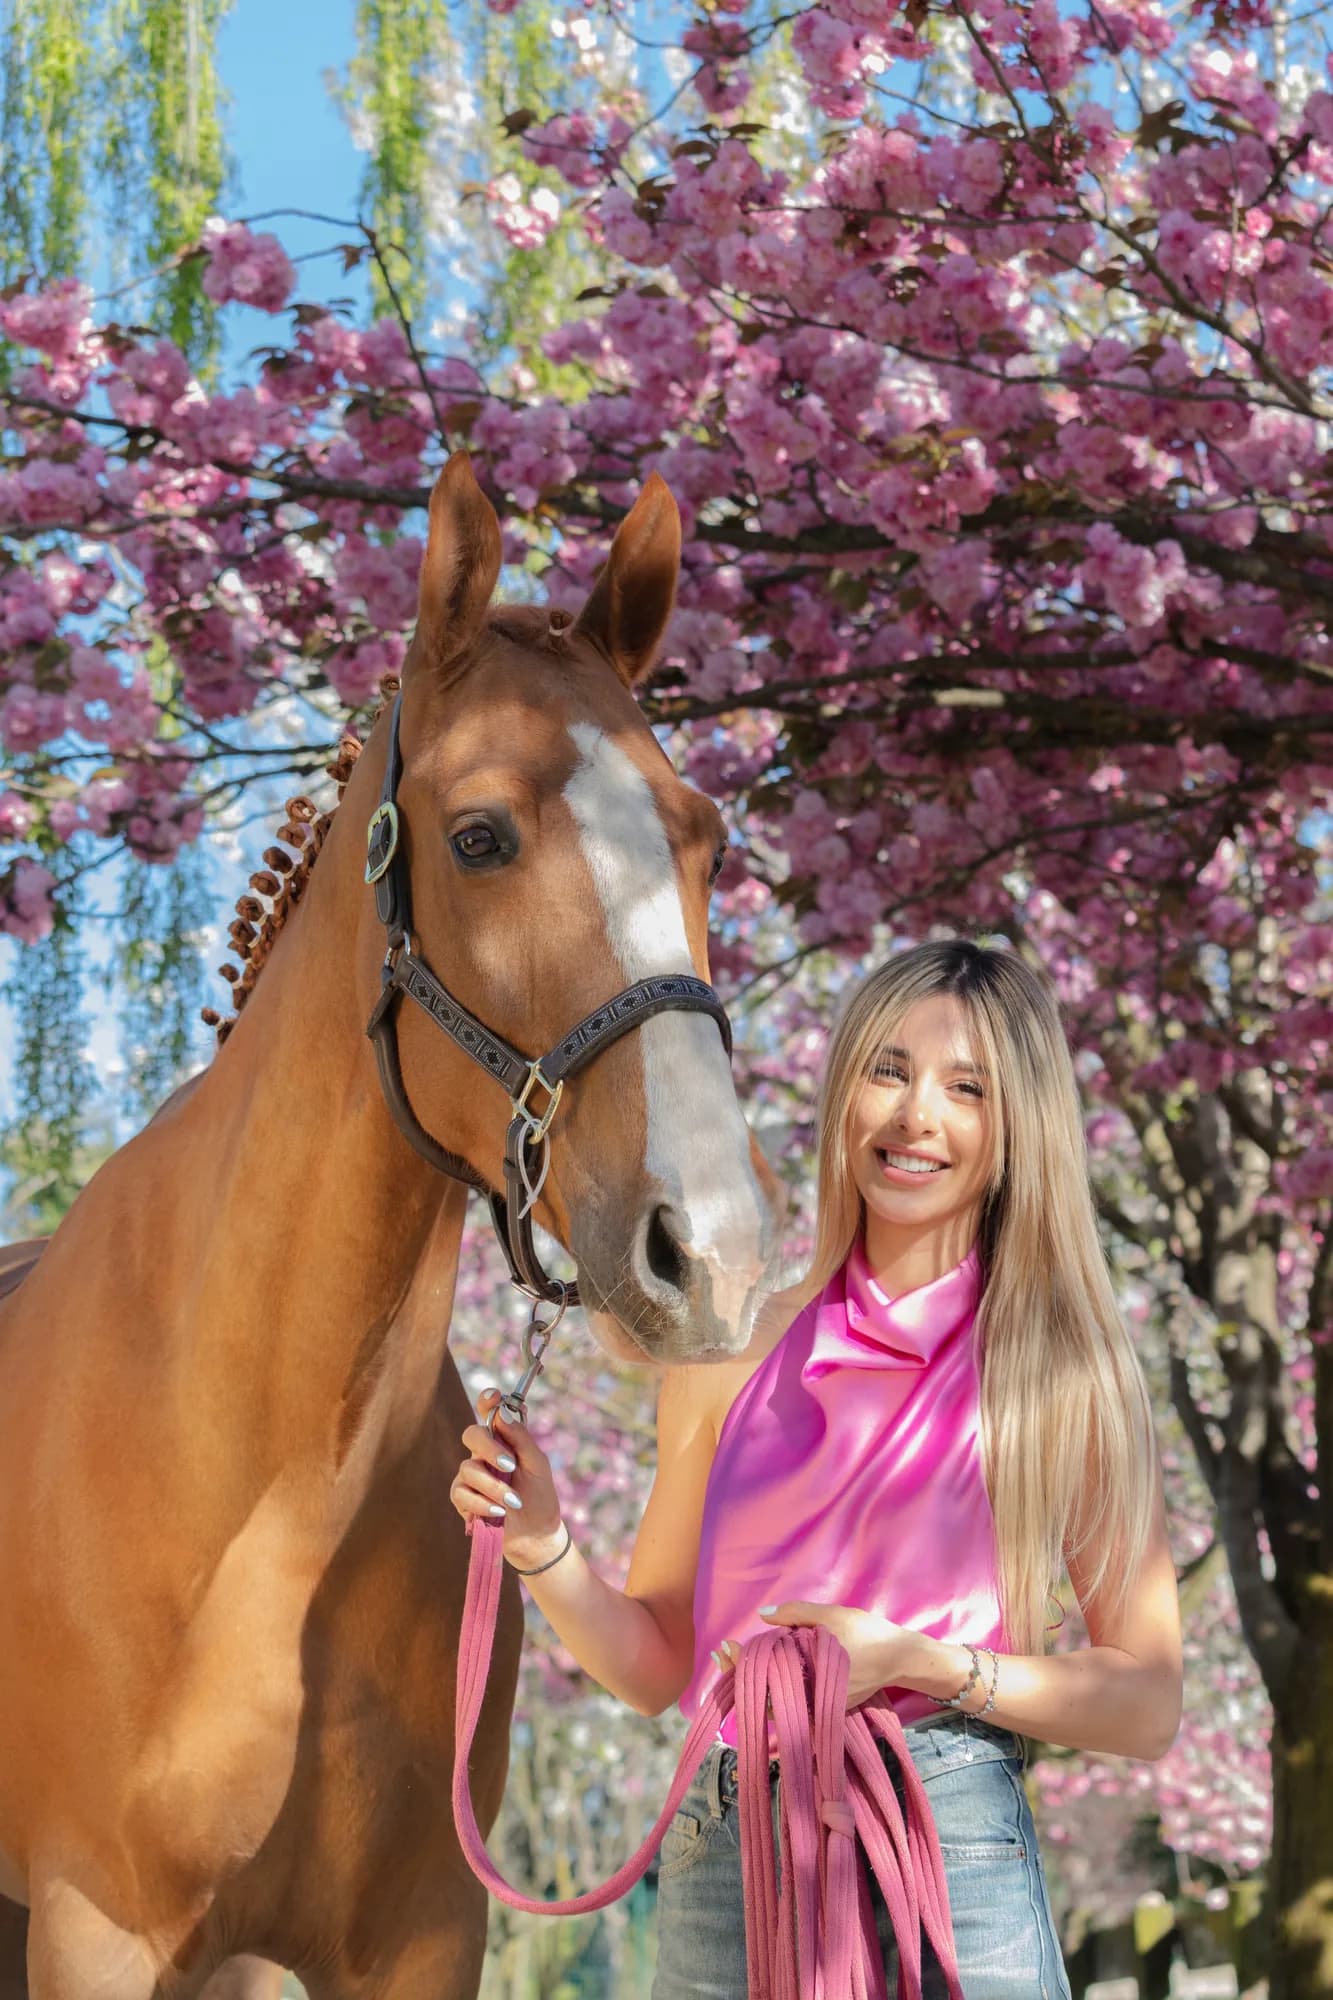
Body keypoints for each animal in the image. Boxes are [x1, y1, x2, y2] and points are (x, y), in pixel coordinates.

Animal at [0, 453, 779, 2000]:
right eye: (477, 835)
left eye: (707, 840)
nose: (710, 1253)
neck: (263, 1488)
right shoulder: (91, 1928)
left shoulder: (424, 1933)